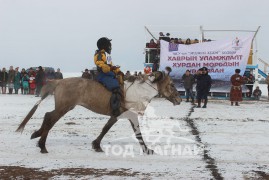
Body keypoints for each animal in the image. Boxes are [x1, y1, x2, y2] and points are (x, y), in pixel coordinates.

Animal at [16, 71, 180, 154]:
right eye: (172, 84)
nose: (179, 100)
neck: (139, 92)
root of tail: (59, 82)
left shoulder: (117, 115)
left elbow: (105, 128)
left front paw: (96, 145)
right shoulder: (131, 115)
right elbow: (138, 133)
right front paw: (147, 149)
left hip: (64, 107)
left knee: (48, 116)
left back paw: (37, 136)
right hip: (64, 107)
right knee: (50, 117)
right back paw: (42, 145)